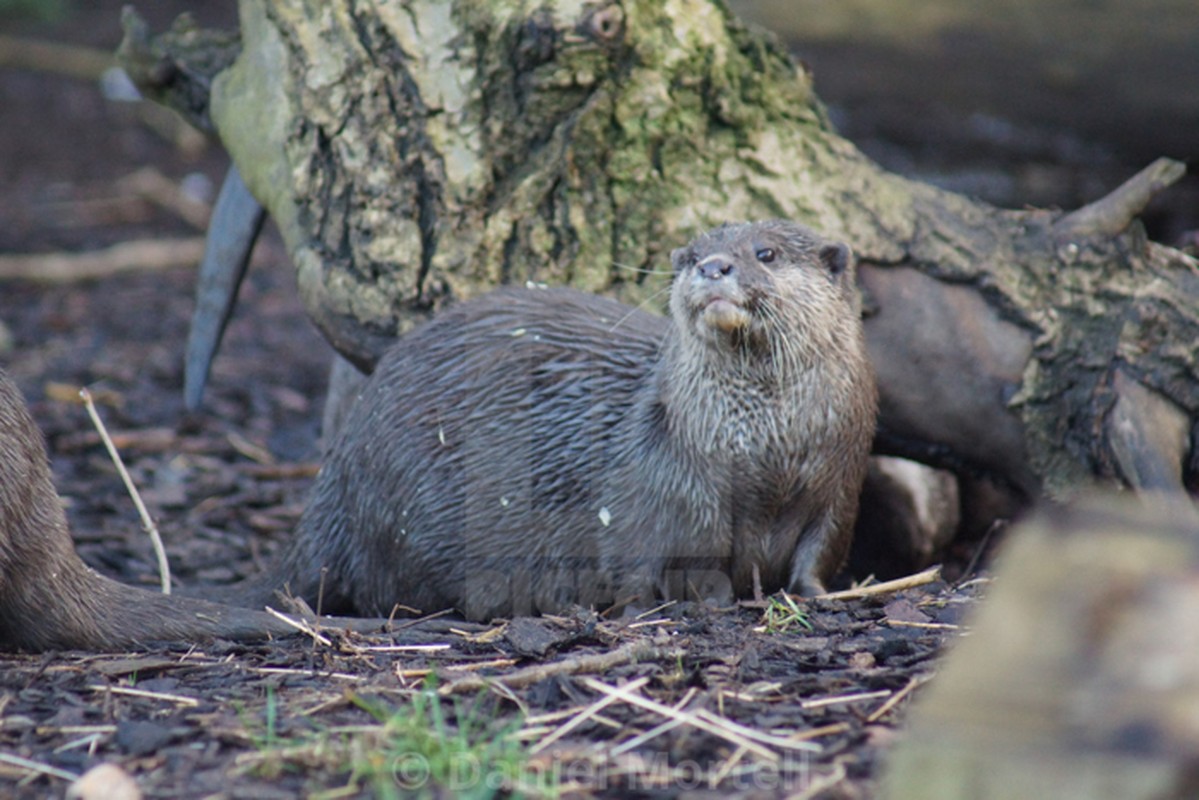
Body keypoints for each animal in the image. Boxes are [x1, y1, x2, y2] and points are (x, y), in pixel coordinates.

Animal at [2, 219, 882, 652]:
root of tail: (337, 483)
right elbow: (677, 565)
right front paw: (712, 606)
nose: (712, 269)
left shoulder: (838, 477)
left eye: (763, 253)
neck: (762, 453)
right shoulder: (676, 490)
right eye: (692, 253)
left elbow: (820, 551)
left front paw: (817, 596)